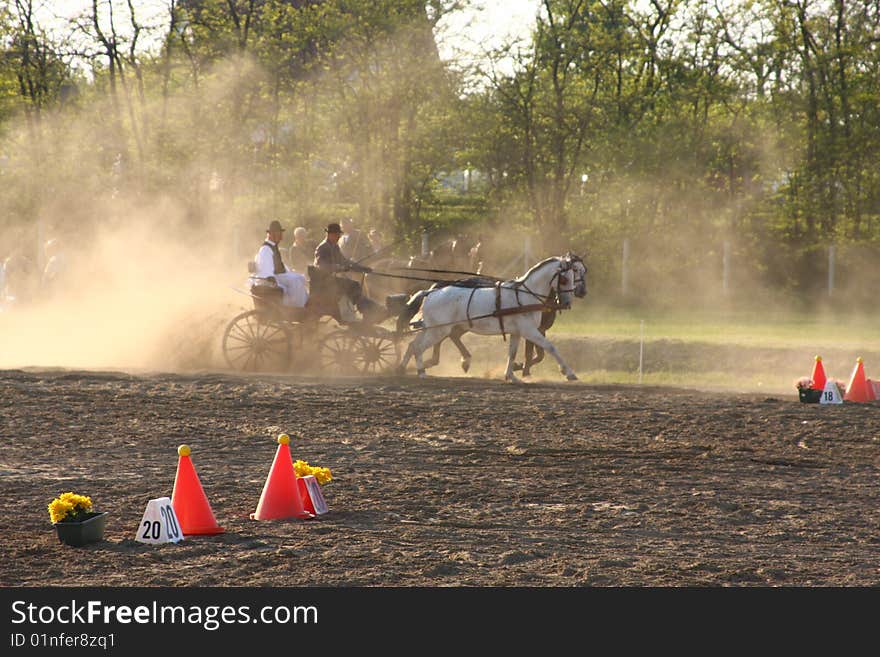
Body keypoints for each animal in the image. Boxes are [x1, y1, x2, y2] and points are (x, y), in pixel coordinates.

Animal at [400, 254, 592, 382]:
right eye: (566, 278)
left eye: (579, 272)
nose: (567, 301)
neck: (525, 296)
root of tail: (430, 292)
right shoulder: (530, 331)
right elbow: (550, 348)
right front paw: (569, 373)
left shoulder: (517, 332)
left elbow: (512, 353)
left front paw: (510, 375)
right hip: (439, 330)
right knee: (419, 347)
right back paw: (421, 371)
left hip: (433, 328)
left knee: (412, 345)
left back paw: (400, 368)